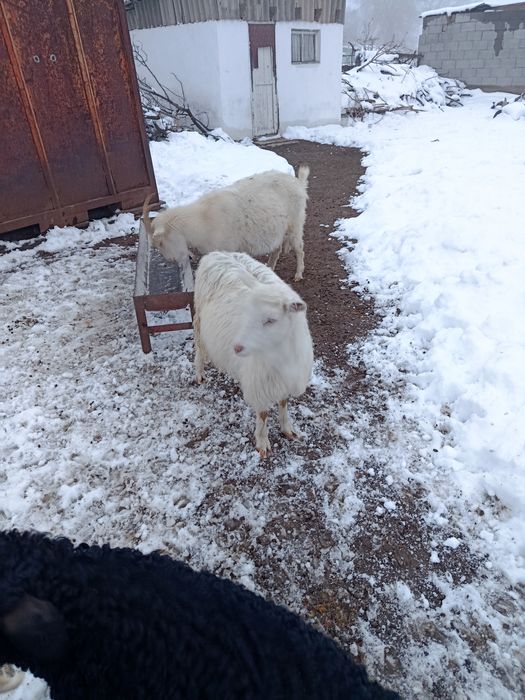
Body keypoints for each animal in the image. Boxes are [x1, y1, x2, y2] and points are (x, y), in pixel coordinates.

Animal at [143, 165, 309, 282]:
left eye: (161, 243)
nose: (171, 260)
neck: (202, 220)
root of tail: (299, 183)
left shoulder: (227, 248)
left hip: (296, 223)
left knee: (300, 249)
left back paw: (298, 274)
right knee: (277, 249)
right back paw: (270, 267)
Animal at [193, 251, 314, 457]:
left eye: (271, 320)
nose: (236, 347)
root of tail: (215, 253)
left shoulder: (286, 379)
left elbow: (283, 403)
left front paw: (287, 429)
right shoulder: (260, 382)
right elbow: (263, 414)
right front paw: (262, 442)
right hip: (199, 319)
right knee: (200, 349)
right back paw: (200, 373)